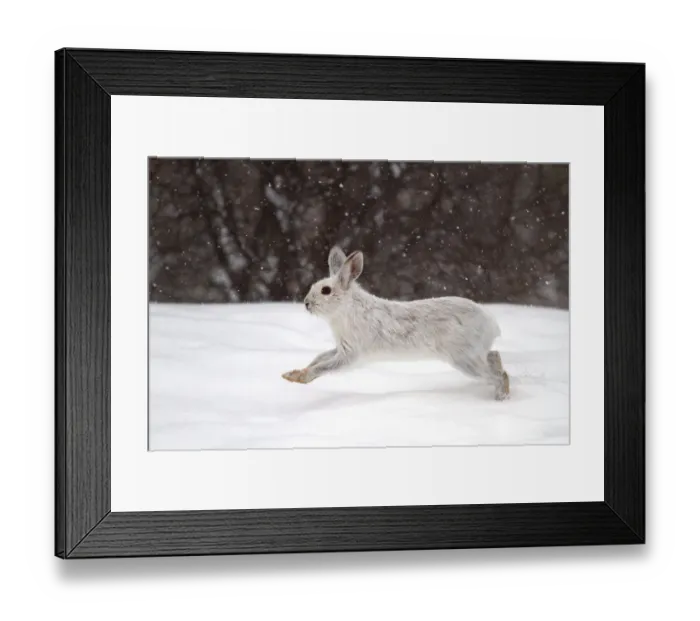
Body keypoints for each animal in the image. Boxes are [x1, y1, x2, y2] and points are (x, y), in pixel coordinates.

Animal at [282, 246, 510, 400]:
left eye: (326, 290)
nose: (306, 303)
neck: (346, 308)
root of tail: (491, 324)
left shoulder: (351, 354)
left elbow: (324, 367)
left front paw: (300, 377)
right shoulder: (340, 347)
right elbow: (320, 357)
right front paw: (291, 374)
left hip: (463, 358)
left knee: (496, 375)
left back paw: (501, 397)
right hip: (472, 355)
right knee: (494, 356)